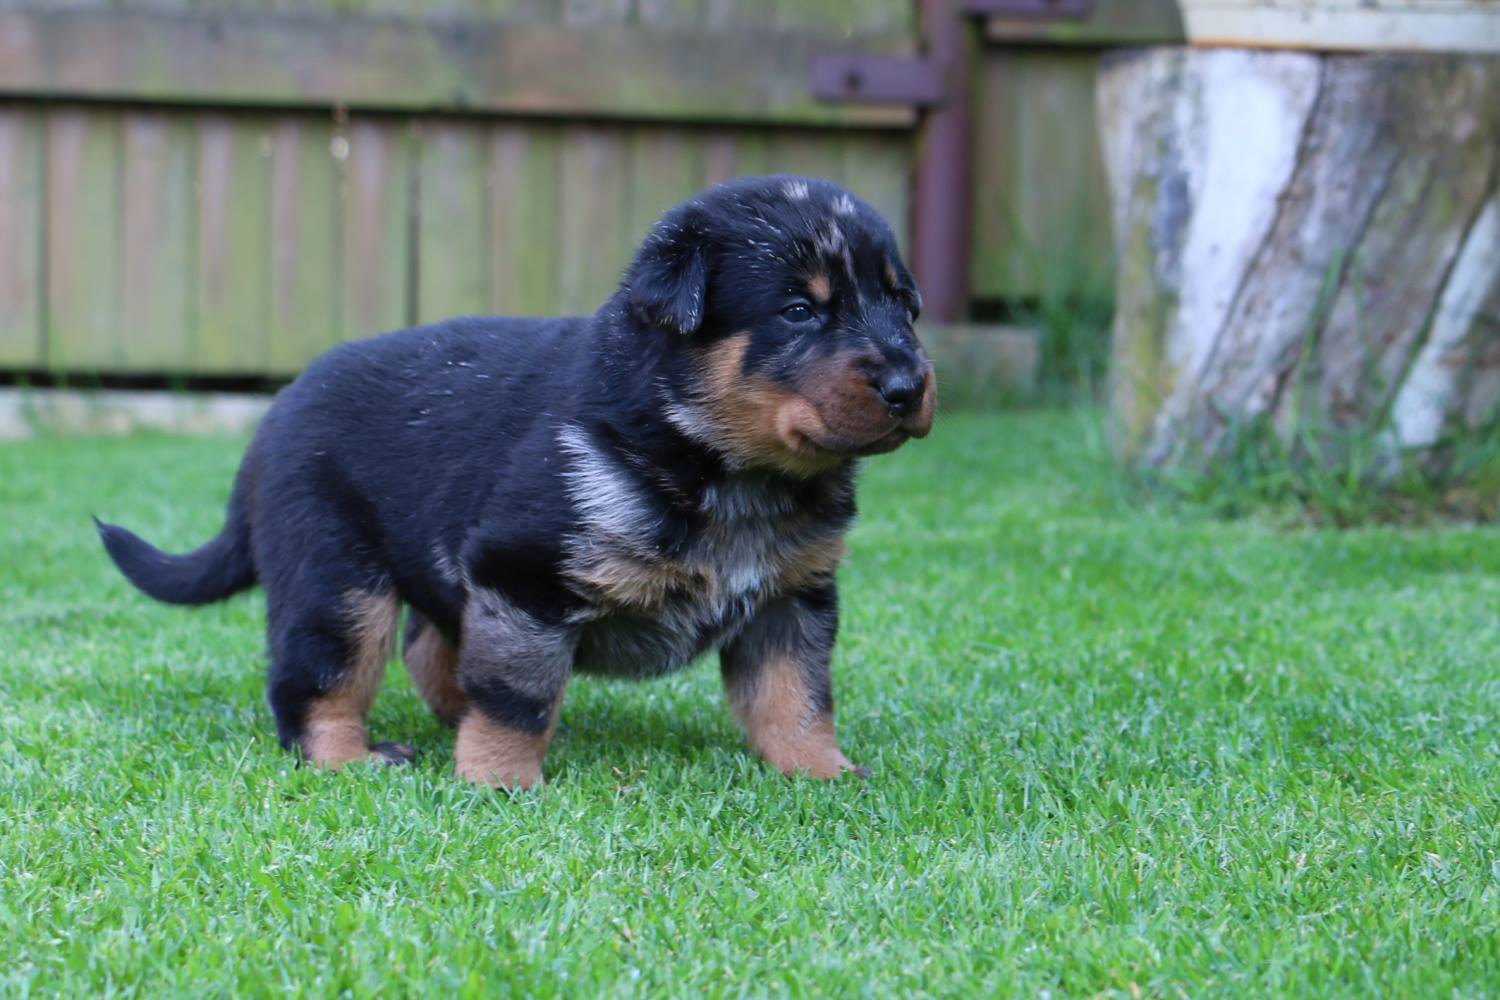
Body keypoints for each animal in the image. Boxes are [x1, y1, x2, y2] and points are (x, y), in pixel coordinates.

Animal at [93, 179, 930, 791]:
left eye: (902, 305)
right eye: (799, 310)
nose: (909, 385)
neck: (725, 469)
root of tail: (272, 420)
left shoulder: (794, 598)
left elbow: (797, 698)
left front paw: (823, 773)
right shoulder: (523, 575)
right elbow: (519, 698)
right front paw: (502, 782)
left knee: (429, 648)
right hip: (335, 577)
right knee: (318, 683)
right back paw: (353, 759)